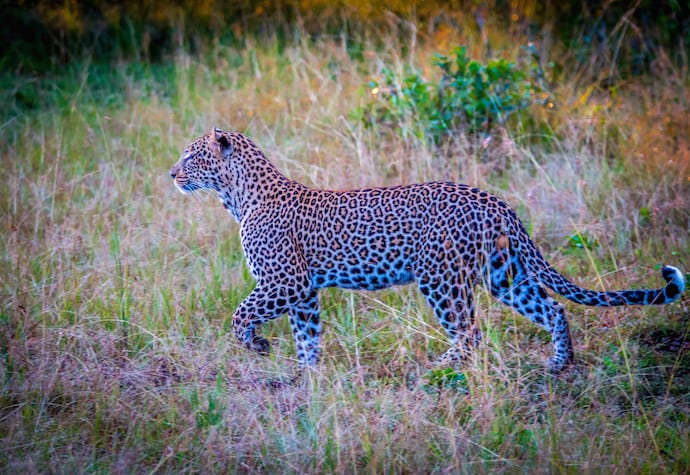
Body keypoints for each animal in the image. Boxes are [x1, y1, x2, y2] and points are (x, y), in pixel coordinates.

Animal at [171, 128, 684, 374]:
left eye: (192, 156)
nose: (172, 174)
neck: (237, 197)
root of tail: (494, 199)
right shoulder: (303, 292)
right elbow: (307, 337)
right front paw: (305, 378)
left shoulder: (285, 282)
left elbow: (239, 315)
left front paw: (258, 345)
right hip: (504, 275)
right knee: (553, 309)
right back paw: (559, 365)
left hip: (441, 277)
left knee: (470, 333)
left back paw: (438, 369)